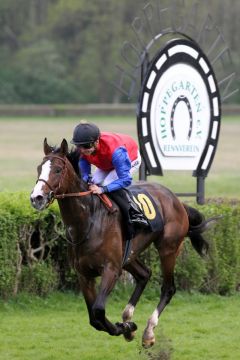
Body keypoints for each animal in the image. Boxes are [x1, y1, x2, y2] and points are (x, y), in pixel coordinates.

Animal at [30, 138, 214, 346]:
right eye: (39, 168)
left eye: (58, 169)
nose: (36, 198)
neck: (89, 220)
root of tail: (177, 200)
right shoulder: (84, 274)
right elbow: (94, 318)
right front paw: (126, 327)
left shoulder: (111, 269)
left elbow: (98, 311)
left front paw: (126, 327)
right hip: (129, 255)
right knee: (144, 274)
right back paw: (128, 316)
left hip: (168, 248)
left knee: (168, 288)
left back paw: (148, 331)